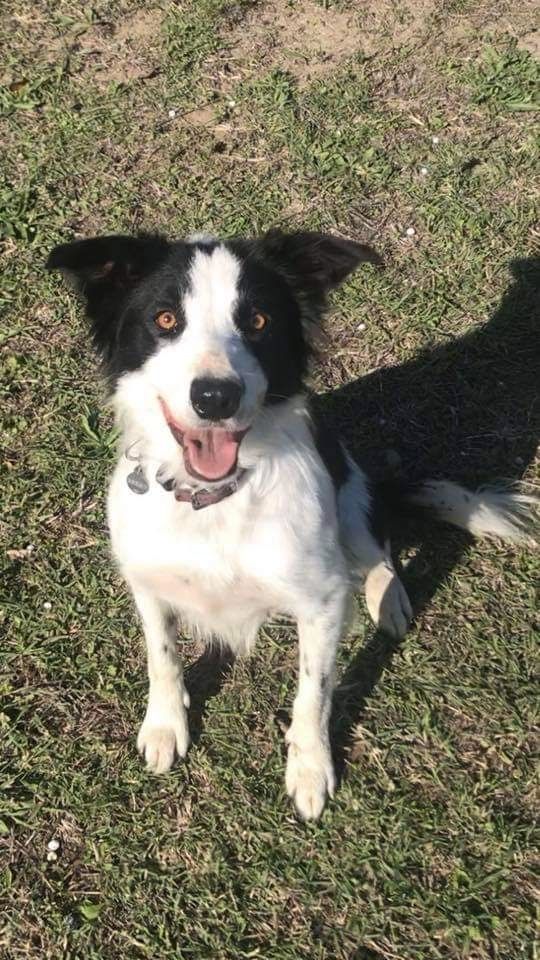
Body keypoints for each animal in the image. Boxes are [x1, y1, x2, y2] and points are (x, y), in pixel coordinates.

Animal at [46, 231, 536, 816]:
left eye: (258, 321)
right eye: (165, 320)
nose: (215, 397)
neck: (212, 501)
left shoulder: (322, 602)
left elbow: (313, 692)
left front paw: (310, 770)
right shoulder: (147, 580)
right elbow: (162, 656)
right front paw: (165, 726)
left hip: (349, 491)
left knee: (377, 547)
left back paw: (389, 598)